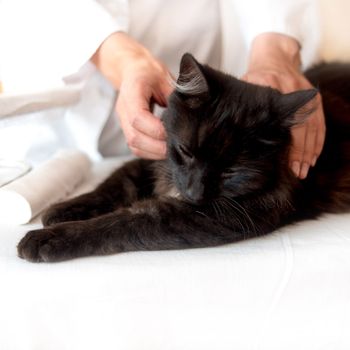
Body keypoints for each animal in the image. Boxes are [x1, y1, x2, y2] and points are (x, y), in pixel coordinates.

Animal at [17, 53, 350, 262]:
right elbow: (112, 186)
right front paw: (66, 207)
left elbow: (122, 223)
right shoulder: (150, 159)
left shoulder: (199, 217)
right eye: (186, 152)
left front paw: (49, 239)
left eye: (231, 172)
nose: (193, 192)